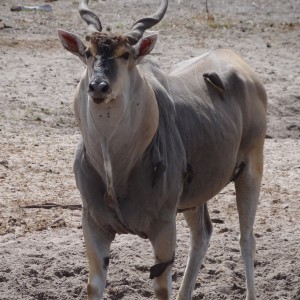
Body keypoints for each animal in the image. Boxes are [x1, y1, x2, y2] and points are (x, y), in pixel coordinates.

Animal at [58, 0, 268, 300]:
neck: (117, 165)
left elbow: (160, 288)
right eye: (88, 53)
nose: (98, 86)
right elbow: (93, 285)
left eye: (126, 54)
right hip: (194, 196)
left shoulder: (164, 227)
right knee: (203, 234)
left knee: (246, 238)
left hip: (251, 169)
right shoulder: (94, 225)